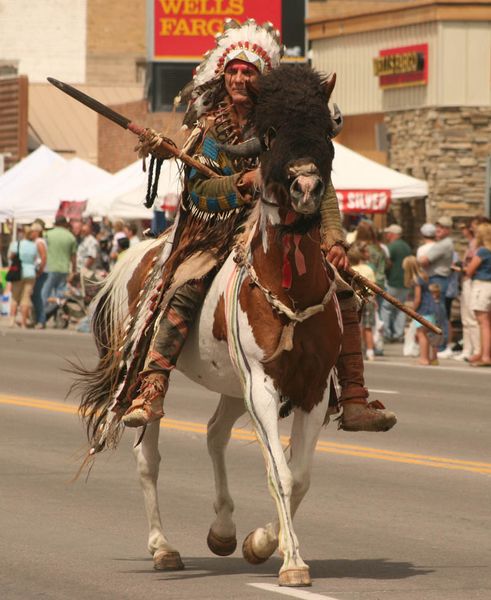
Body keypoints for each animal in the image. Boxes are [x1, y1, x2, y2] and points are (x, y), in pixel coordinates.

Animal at [79, 64, 344, 584]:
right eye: (271, 132)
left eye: (325, 131)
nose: (306, 188)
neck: (288, 288)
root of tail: (139, 255)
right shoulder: (261, 385)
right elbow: (280, 473)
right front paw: (292, 562)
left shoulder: (313, 389)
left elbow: (300, 476)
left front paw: (263, 542)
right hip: (148, 375)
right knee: (148, 458)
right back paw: (163, 548)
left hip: (231, 386)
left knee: (215, 433)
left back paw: (222, 530)